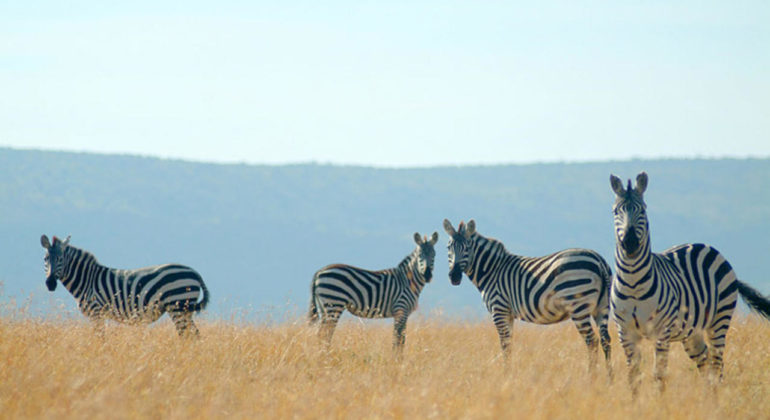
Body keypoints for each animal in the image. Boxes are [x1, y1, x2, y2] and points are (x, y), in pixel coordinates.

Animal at [40, 235, 208, 336]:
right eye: (45, 258)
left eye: (60, 259)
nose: (50, 284)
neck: (87, 280)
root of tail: (194, 272)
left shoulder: (96, 312)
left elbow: (100, 338)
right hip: (183, 309)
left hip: (177, 306)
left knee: (189, 335)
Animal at [308, 231, 438, 352]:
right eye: (420, 255)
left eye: (434, 255)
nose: (427, 275)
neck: (408, 281)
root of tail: (319, 272)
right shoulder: (401, 310)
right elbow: (399, 340)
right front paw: (397, 359)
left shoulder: (402, 313)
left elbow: (400, 339)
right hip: (334, 303)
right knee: (325, 334)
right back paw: (326, 355)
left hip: (324, 307)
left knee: (320, 334)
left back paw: (322, 355)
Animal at [444, 220, 612, 374]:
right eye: (448, 248)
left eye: (467, 247)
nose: (454, 277)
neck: (492, 271)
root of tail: (599, 260)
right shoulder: (508, 314)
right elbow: (509, 344)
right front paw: (509, 374)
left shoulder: (499, 310)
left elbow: (505, 345)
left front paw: (505, 375)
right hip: (602, 307)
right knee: (605, 340)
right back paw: (610, 379)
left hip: (578, 305)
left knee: (592, 341)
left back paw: (591, 378)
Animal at [608, 172, 768, 396]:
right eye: (616, 211)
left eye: (643, 210)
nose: (630, 243)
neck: (633, 284)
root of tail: (704, 245)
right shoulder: (625, 333)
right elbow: (634, 376)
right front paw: (635, 403)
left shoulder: (662, 332)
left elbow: (659, 375)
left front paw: (659, 402)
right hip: (692, 333)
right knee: (705, 361)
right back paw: (707, 397)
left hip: (719, 320)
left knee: (717, 364)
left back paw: (715, 399)